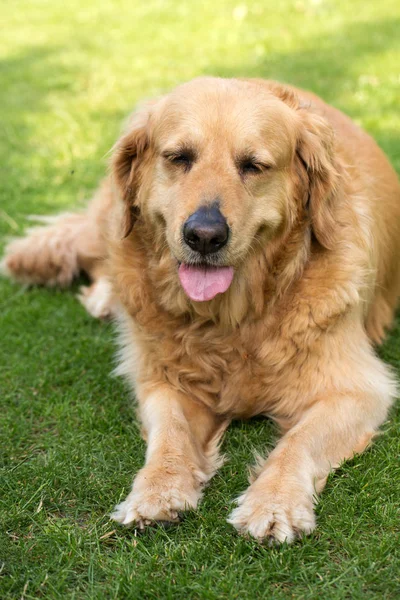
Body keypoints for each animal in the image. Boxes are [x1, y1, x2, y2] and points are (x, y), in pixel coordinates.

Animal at [3, 77, 400, 540]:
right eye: (179, 157)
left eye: (254, 166)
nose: (204, 236)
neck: (232, 318)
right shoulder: (160, 378)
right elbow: (171, 434)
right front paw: (157, 490)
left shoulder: (357, 390)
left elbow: (299, 442)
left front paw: (275, 502)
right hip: (113, 221)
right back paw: (104, 296)